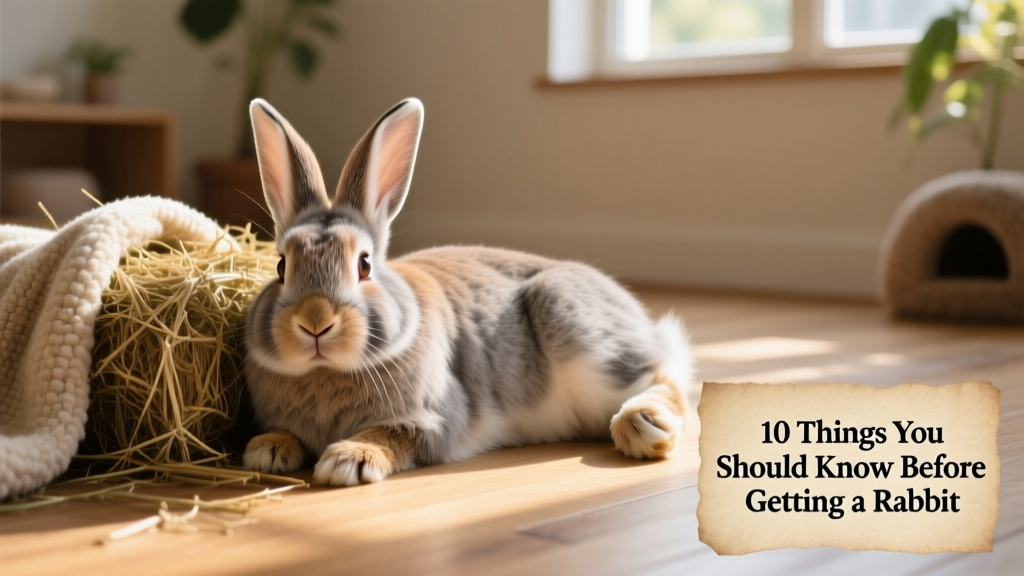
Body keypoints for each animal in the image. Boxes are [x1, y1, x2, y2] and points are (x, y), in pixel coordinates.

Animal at [242, 97, 694, 487]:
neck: (326, 371)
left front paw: (348, 460)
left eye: (364, 265)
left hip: (580, 334)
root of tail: (647, 328)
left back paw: (642, 424)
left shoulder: (437, 417)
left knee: (666, 380)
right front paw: (267, 450)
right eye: (281, 267)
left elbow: (392, 433)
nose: (315, 322)